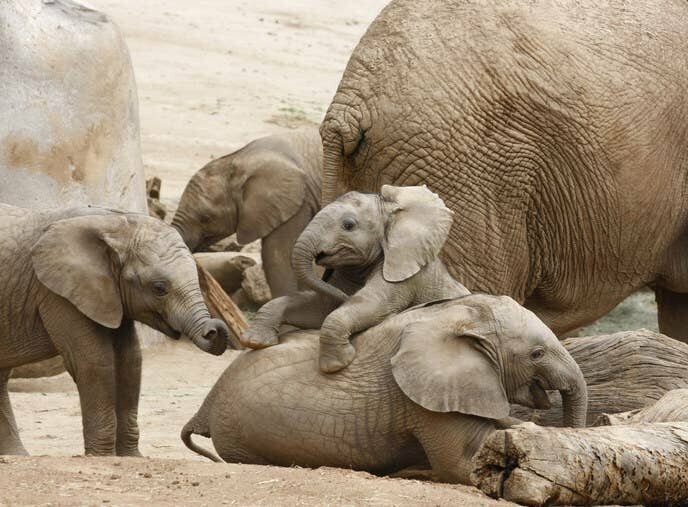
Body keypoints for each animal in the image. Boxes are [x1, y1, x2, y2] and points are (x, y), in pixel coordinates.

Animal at [0, 204, 231, 458]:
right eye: (159, 288)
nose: (215, 330)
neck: (115, 223)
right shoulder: (57, 291)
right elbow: (94, 362)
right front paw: (101, 456)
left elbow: (130, 362)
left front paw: (132, 457)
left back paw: (15, 455)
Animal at [183, 294, 584, 484]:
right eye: (536, 354)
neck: (459, 318)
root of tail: (206, 405)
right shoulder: (422, 400)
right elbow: (466, 460)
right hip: (244, 438)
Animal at [239, 185, 470, 372]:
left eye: (348, 225)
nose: (343, 296)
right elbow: (319, 308)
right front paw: (256, 342)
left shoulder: (406, 276)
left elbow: (370, 304)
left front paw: (336, 365)